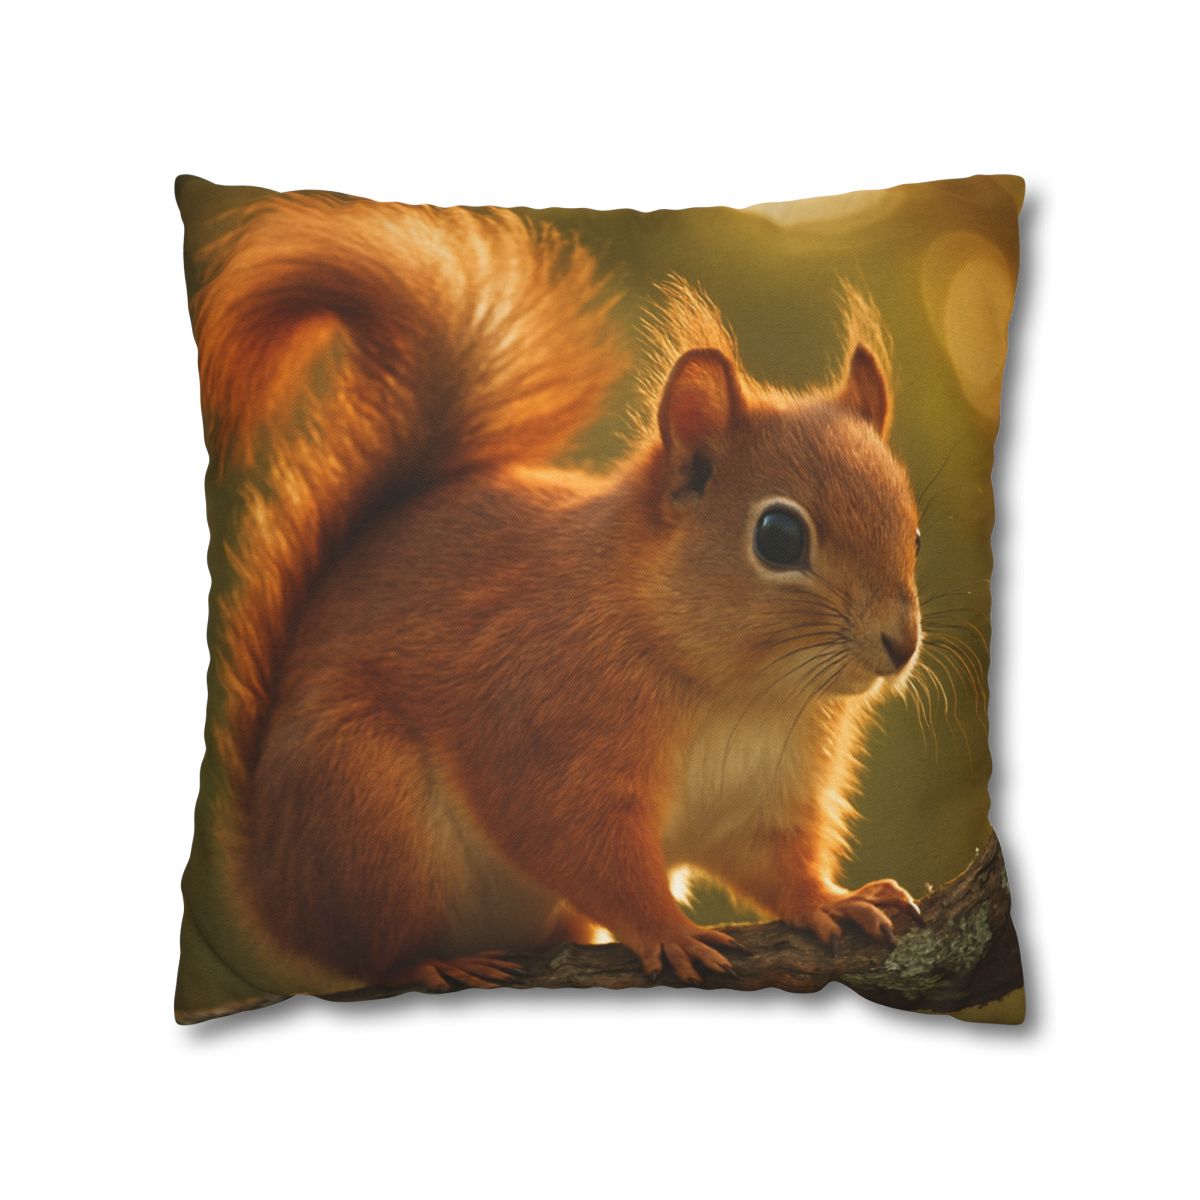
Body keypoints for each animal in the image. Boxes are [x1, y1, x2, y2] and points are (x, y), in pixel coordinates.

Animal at [190, 191, 925, 991]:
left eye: (915, 534)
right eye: (780, 538)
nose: (901, 643)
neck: (740, 691)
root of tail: (273, 890)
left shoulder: (765, 798)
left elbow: (776, 866)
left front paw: (832, 900)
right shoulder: (546, 735)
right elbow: (587, 853)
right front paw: (669, 931)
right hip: (366, 806)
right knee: (375, 947)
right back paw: (438, 961)